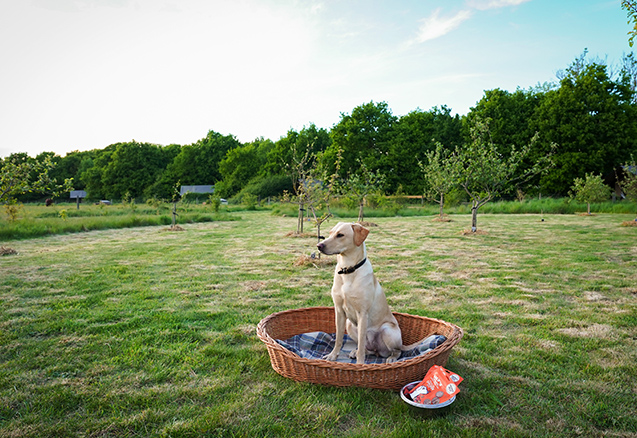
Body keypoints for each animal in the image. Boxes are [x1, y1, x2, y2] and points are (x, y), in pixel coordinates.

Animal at [316, 222, 402, 362]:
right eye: (330, 233)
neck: (347, 270)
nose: (319, 245)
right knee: (369, 349)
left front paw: (360, 363)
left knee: (396, 351)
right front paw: (333, 355)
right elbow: (339, 338)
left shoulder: (362, 314)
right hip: (350, 325)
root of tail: (378, 350)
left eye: (340, 235)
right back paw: (355, 352)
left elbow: (361, 345)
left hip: (388, 330)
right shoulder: (339, 311)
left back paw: (391, 358)